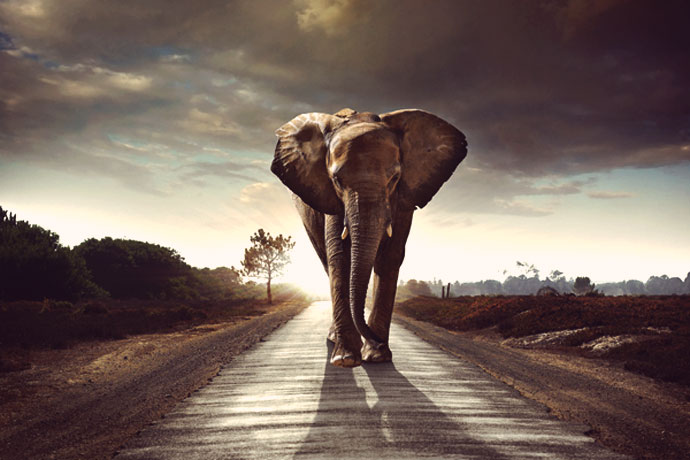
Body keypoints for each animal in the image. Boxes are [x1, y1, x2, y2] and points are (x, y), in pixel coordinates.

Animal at [271, 108, 467, 367]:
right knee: (326, 261)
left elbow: (390, 257)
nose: (377, 341)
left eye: (394, 178)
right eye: (336, 180)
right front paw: (346, 359)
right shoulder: (331, 199)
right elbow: (340, 257)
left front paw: (377, 356)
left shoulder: (403, 198)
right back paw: (335, 340)